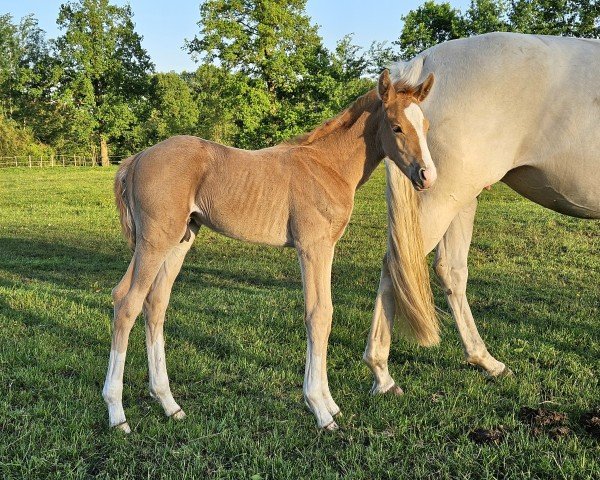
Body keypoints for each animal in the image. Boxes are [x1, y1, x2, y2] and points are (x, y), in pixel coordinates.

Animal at [103, 68, 438, 432]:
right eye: (396, 126)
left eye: (426, 126)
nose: (427, 176)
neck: (327, 167)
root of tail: (136, 159)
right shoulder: (312, 247)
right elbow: (318, 315)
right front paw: (320, 409)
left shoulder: (326, 248)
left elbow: (325, 314)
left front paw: (330, 404)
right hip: (154, 241)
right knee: (127, 302)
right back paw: (117, 413)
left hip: (180, 240)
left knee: (155, 304)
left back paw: (168, 403)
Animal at [364, 31, 596, 396]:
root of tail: (423, 64)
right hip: (441, 196)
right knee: (398, 263)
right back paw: (382, 375)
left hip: (461, 198)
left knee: (450, 270)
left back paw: (486, 361)